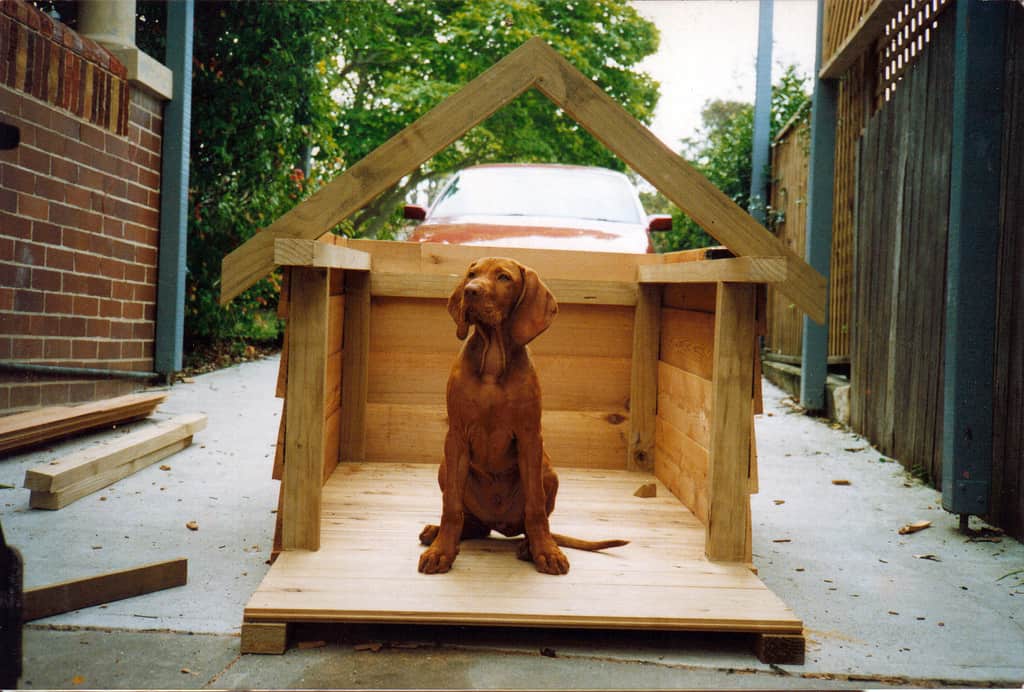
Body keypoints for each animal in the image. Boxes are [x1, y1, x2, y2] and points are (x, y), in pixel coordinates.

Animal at [417, 256, 626, 577]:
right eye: (472, 274)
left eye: (504, 277)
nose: (470, 291)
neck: (492, 359)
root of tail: (499, 523)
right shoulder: (456, 437)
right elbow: (451, 507)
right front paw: (441, 551)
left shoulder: (530, 437)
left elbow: (536, 508)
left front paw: (546, 552)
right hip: (445, 467)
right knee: (473, 523)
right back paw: (436, 532)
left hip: (548, 471)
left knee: (534, 521)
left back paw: (532, 546)